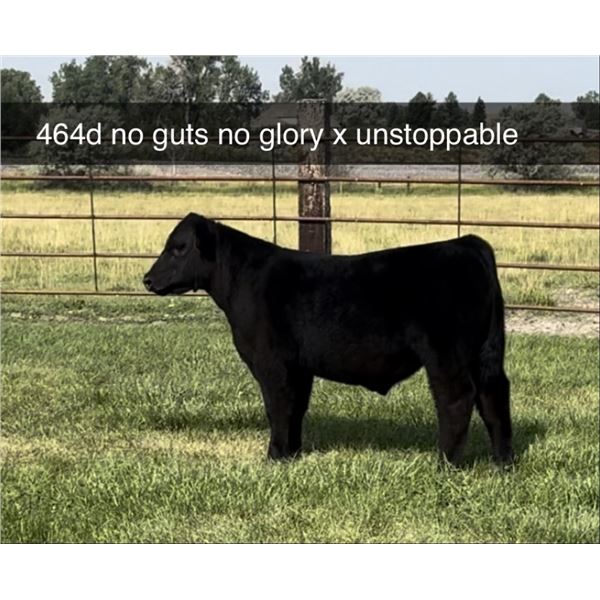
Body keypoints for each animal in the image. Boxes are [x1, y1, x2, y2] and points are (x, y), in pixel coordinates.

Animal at [143, 213, 513, 466]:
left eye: (178, 249)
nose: (147, 279)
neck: (243, 280)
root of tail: (465, 243)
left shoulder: (272, 363)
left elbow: (277, 407)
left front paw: (274, 456)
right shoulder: (299, 366)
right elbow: (295, 408)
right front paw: (292, 454)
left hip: (446, 353)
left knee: (457, 398)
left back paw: (446, 463)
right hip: (483, 352)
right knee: (493, 394)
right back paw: (502, 462)